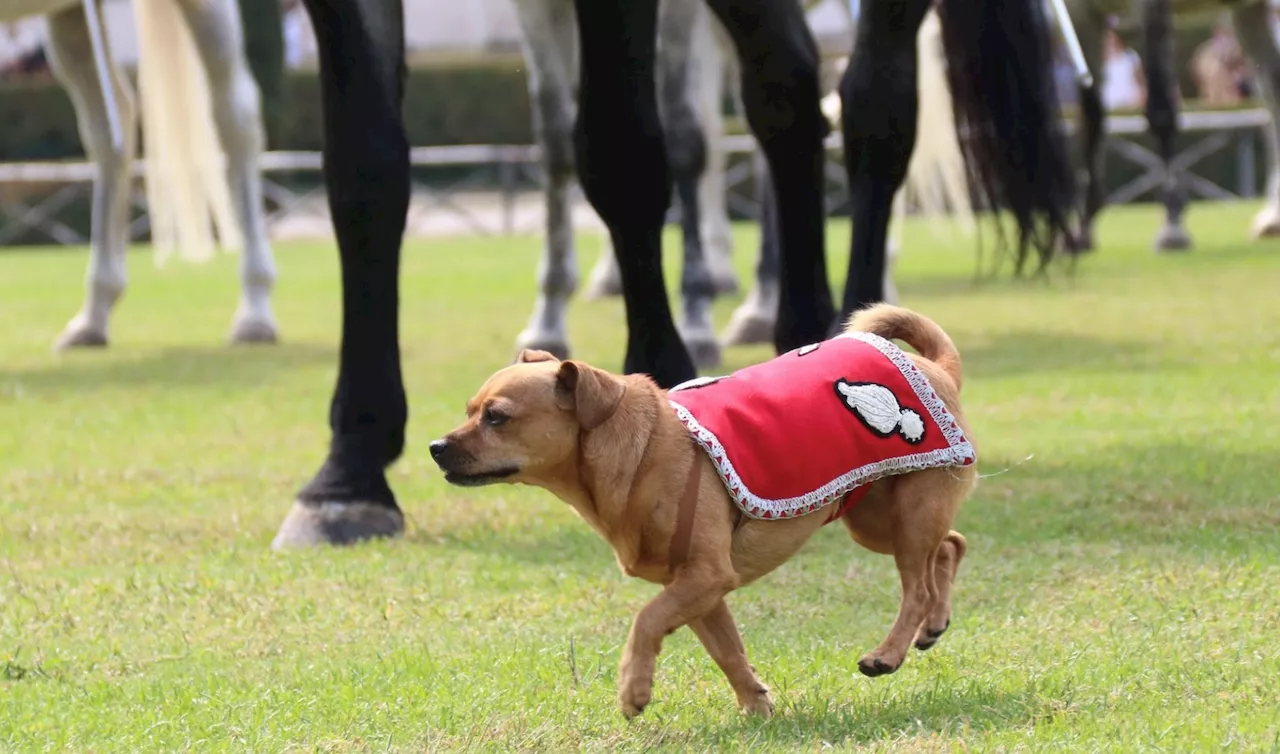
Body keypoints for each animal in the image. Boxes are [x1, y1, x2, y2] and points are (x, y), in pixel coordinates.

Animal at [430, 304, 977, 716]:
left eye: (496, 417)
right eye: (469, 411)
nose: (435, 447)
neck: (639, 452)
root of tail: (938, 369)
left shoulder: (705, 577)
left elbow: (647, 619)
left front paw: (634, 688)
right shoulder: (702, 589)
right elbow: (728, 651)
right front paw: (757, 706)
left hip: (909, 512)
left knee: (918, 586)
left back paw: (888, 654)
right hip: (874, 518)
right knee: (951, 545)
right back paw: (934, 625)